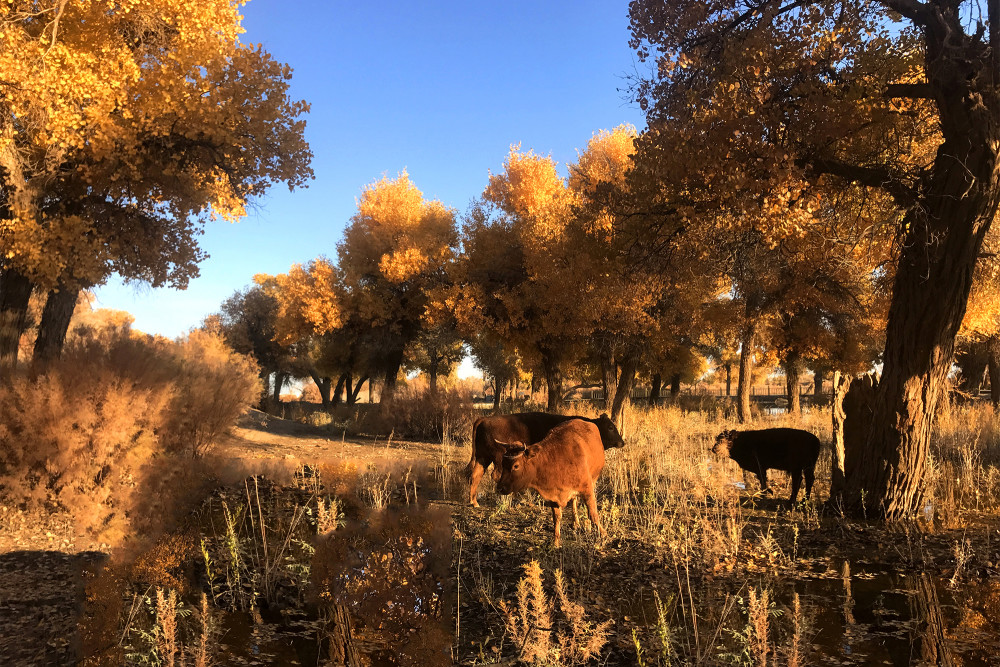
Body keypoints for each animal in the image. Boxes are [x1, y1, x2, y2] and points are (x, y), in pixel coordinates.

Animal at [462, 412, 620, 506]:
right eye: (610, 427)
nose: (622, 441)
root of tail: (484, 419)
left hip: (483, 458)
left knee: (475, 475)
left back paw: (474, 502)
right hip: (497, 458)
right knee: (496, 475)